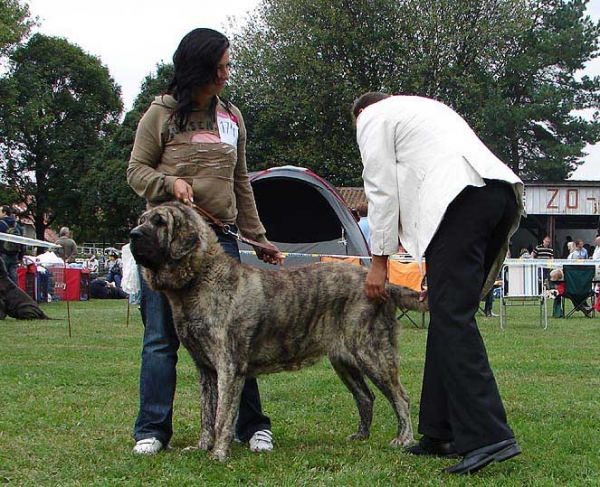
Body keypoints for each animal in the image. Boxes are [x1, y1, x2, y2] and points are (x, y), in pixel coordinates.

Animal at [130, 202, 426, 462]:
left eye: (159, 222)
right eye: (141, 220)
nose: (133, 235)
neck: (200, 279)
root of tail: (383, 285)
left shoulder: (228, 367)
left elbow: (222, 416)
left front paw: (218, 454)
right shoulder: (205, 369)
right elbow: (207, 413)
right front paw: (202, 446)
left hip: (372, 353)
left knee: (400, 397)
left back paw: (404, 438)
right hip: (344, 360)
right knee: (366, 397)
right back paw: (361, 435)